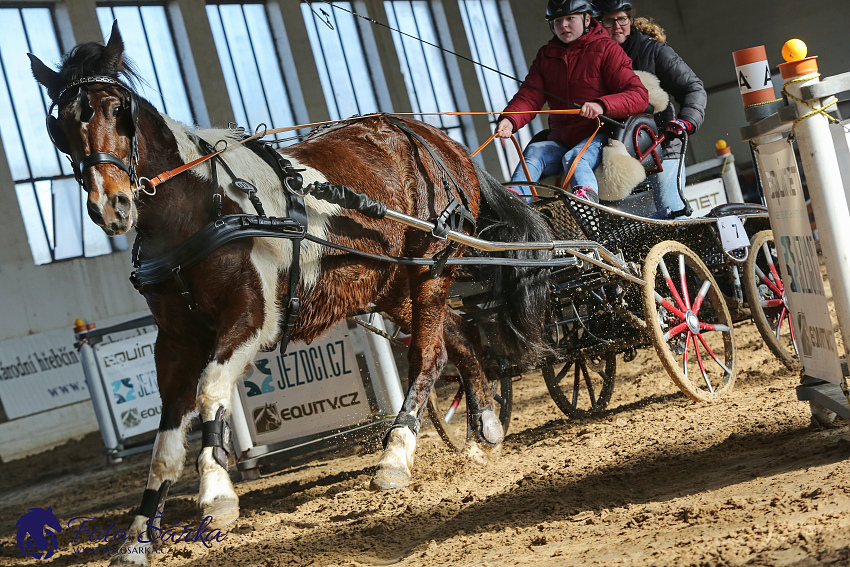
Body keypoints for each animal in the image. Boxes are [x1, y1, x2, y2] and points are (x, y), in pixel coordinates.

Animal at [29, 23, 548, 567]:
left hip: (432, 264)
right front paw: (137, 538)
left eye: (115, 109)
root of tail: (436, 140)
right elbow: (165, 444)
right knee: (459, 338)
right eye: (59, 125)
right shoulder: (175, 341)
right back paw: (484, 429)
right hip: (390, 284)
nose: (111, 206)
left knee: (427, 354)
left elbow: (212, 389)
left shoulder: (251, 316)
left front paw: (216, 494)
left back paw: (395, 456)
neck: (200, 205)